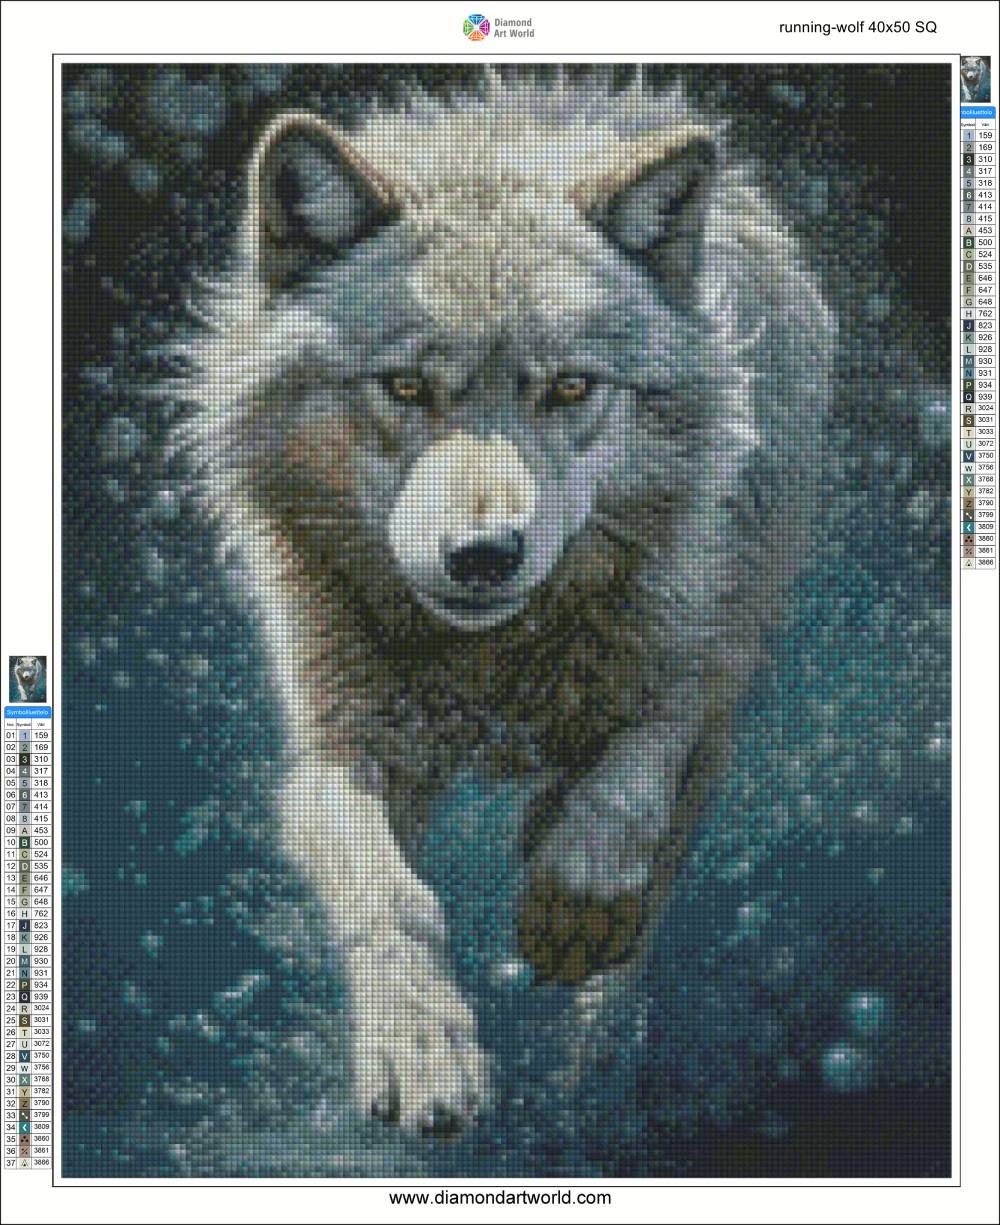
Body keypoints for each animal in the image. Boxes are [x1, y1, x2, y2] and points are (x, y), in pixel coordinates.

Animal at [170, 70, 834, 1134]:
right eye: (405, 386)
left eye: (568, 388)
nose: (484, 555)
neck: (489, 665)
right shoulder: (335, 744)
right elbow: (387, 892)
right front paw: (421, 1048)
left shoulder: (695, 658)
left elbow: (632, 779)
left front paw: (572, 903)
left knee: (652, 893)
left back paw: (594, 1050)